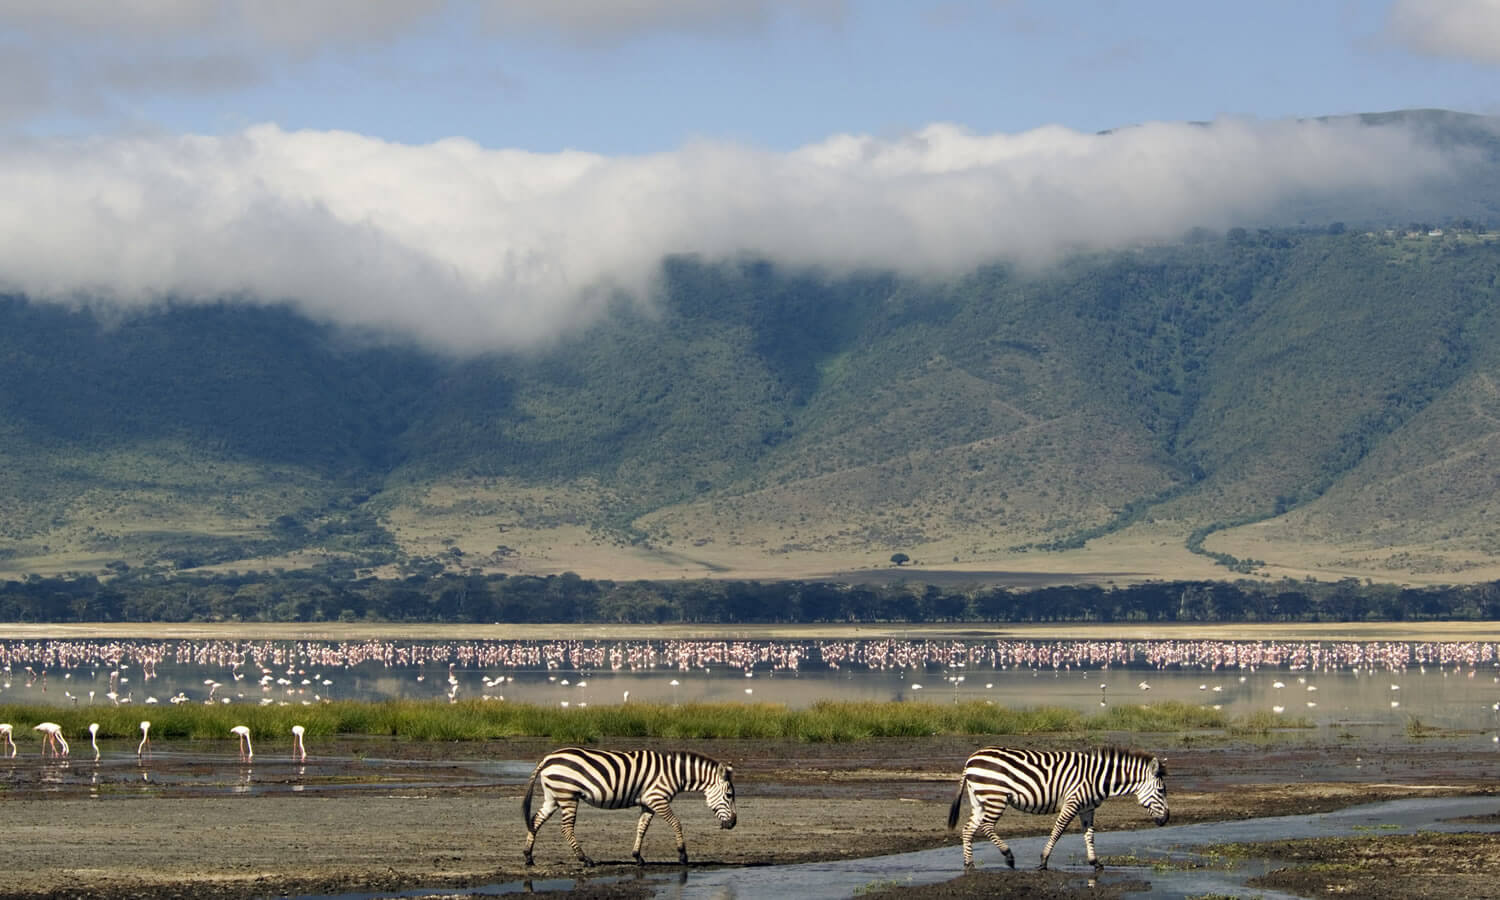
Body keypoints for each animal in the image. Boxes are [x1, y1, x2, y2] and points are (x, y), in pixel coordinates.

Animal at [519, 744, 741, 864]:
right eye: (729, 795)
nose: (733, 824)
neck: (674, 774)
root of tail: (548, 758)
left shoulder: (648, 803)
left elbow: (641, 828)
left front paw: (637, 857)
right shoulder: (657, 798)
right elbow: (676, 823)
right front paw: (682, 855)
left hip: (553, 797)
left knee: (535, 820)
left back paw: (528, 856)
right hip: (567, 796)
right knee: (566, 828)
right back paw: (585, 859)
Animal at [942, 744, 1164, 870]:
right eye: (1162, 791)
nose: (1166, 819)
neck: (1098, 778)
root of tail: (971, 760)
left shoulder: (1087, 809)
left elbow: (1090, 835)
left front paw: (1095, 863)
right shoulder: (1072, 803)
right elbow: (1058, 831)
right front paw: (1043, 861)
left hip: (979, 799)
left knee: (968, 829)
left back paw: (969, 864)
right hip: (995, 796)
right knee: (987, 826)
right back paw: (1009, 857)